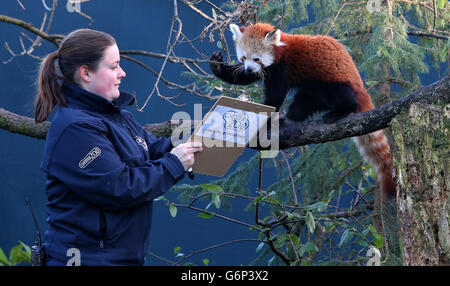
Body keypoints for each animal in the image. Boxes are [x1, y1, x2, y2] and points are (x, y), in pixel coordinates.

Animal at [209, 22, 396, 200]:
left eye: (256, 58)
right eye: (244, 57)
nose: (248, 67)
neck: (281, 51)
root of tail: (360, 86)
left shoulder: (281, 68)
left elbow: (275, 95)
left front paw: (265, 118)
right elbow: (244, 78)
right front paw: (218, 66)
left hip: (333, 81)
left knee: (342, 96)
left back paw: (340, 111)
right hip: (312, 94)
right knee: (302, 102)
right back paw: (289, 119)